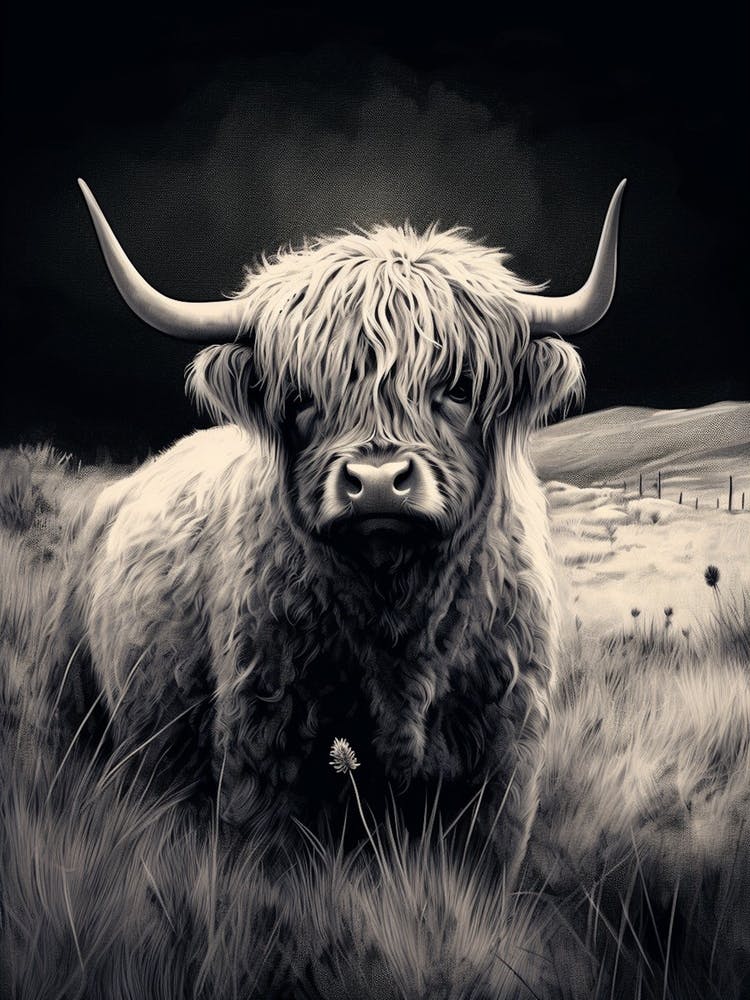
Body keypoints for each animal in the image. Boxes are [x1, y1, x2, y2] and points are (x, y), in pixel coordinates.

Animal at [43, 177, 625, 885]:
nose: (376, 483)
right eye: (300, 397)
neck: (398, 624)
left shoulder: (501, 759)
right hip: (75, 699)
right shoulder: (264, 747)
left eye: (458, 387)